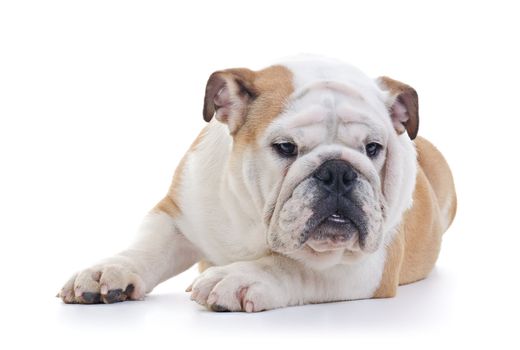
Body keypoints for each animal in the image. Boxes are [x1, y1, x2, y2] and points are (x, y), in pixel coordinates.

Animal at [59, 56, 458, 312]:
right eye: (285, 147)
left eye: (373, 148)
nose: (338, 172)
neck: (255, 221)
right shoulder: (178, 213)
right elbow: (148, 246)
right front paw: (108, 270)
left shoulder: (369, 265)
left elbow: (296, 265)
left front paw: (239, 277)